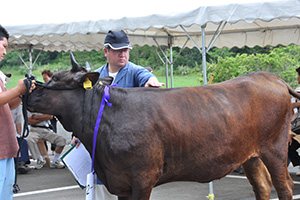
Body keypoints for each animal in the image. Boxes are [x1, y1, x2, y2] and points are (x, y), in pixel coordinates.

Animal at [27, 54, 298, 199]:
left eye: (56, 79)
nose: (28, 90)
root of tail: (268, 76)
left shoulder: (143, 176)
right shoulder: (119, 180)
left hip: (275, 149)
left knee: (284, 186)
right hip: (250, 155)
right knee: (263, 186)